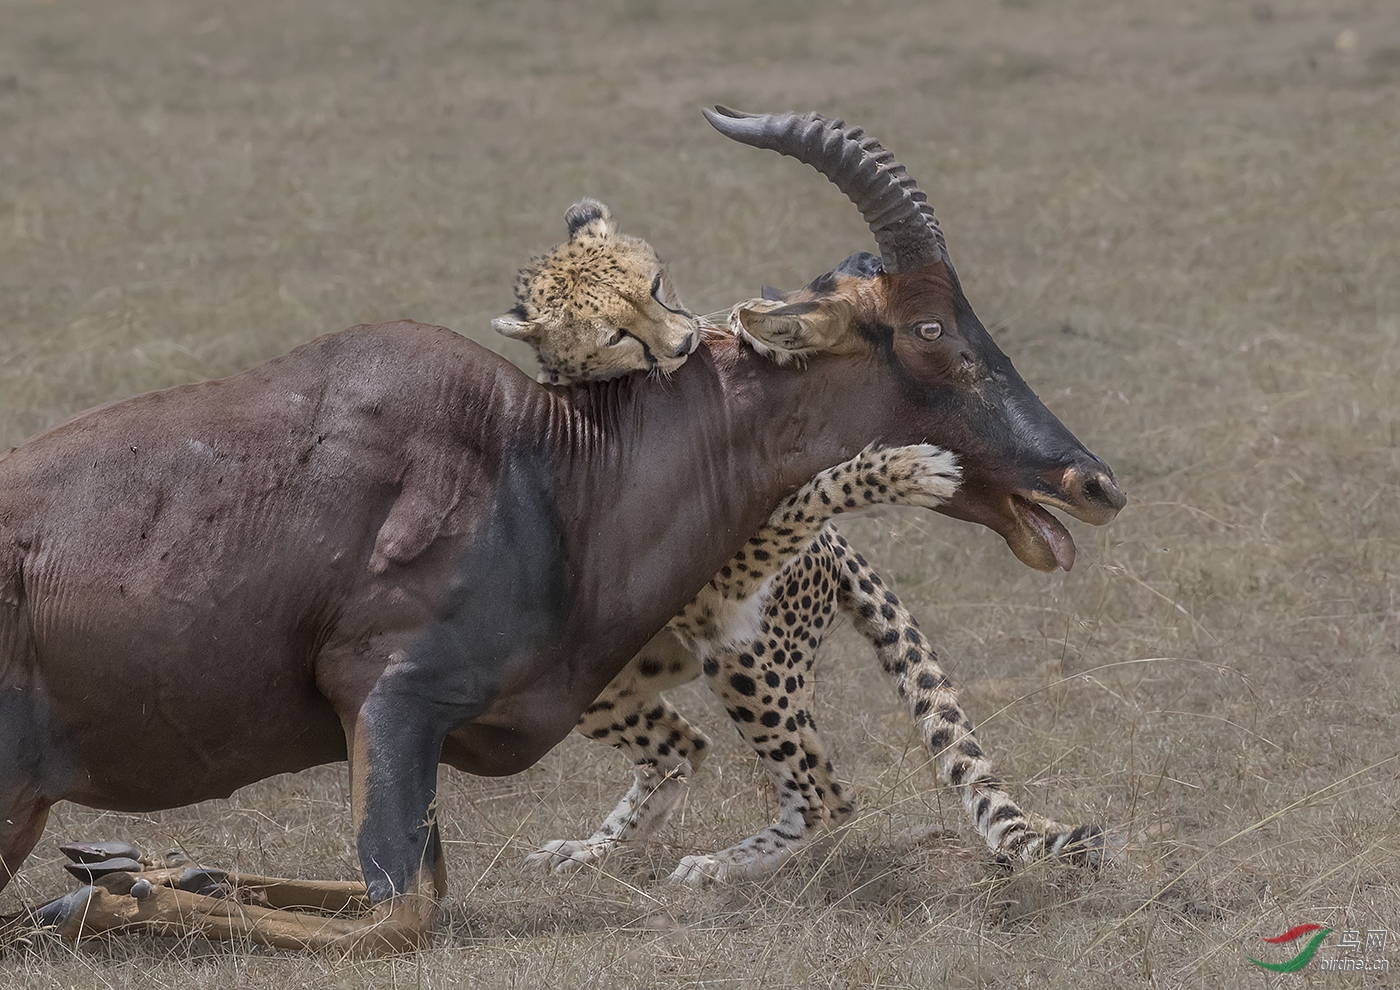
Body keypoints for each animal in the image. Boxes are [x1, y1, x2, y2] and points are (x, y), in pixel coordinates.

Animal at [498, 198, 1108, 884]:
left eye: (655, 286)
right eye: (614, 334)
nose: (684, 342)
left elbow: (812, 479)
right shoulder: (721, 571)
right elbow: (813, 488)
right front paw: (903, 467)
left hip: (739, 659)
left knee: (804, 786)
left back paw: (700, 861)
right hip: (615, 675)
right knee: (726, 763)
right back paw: (614, 852)